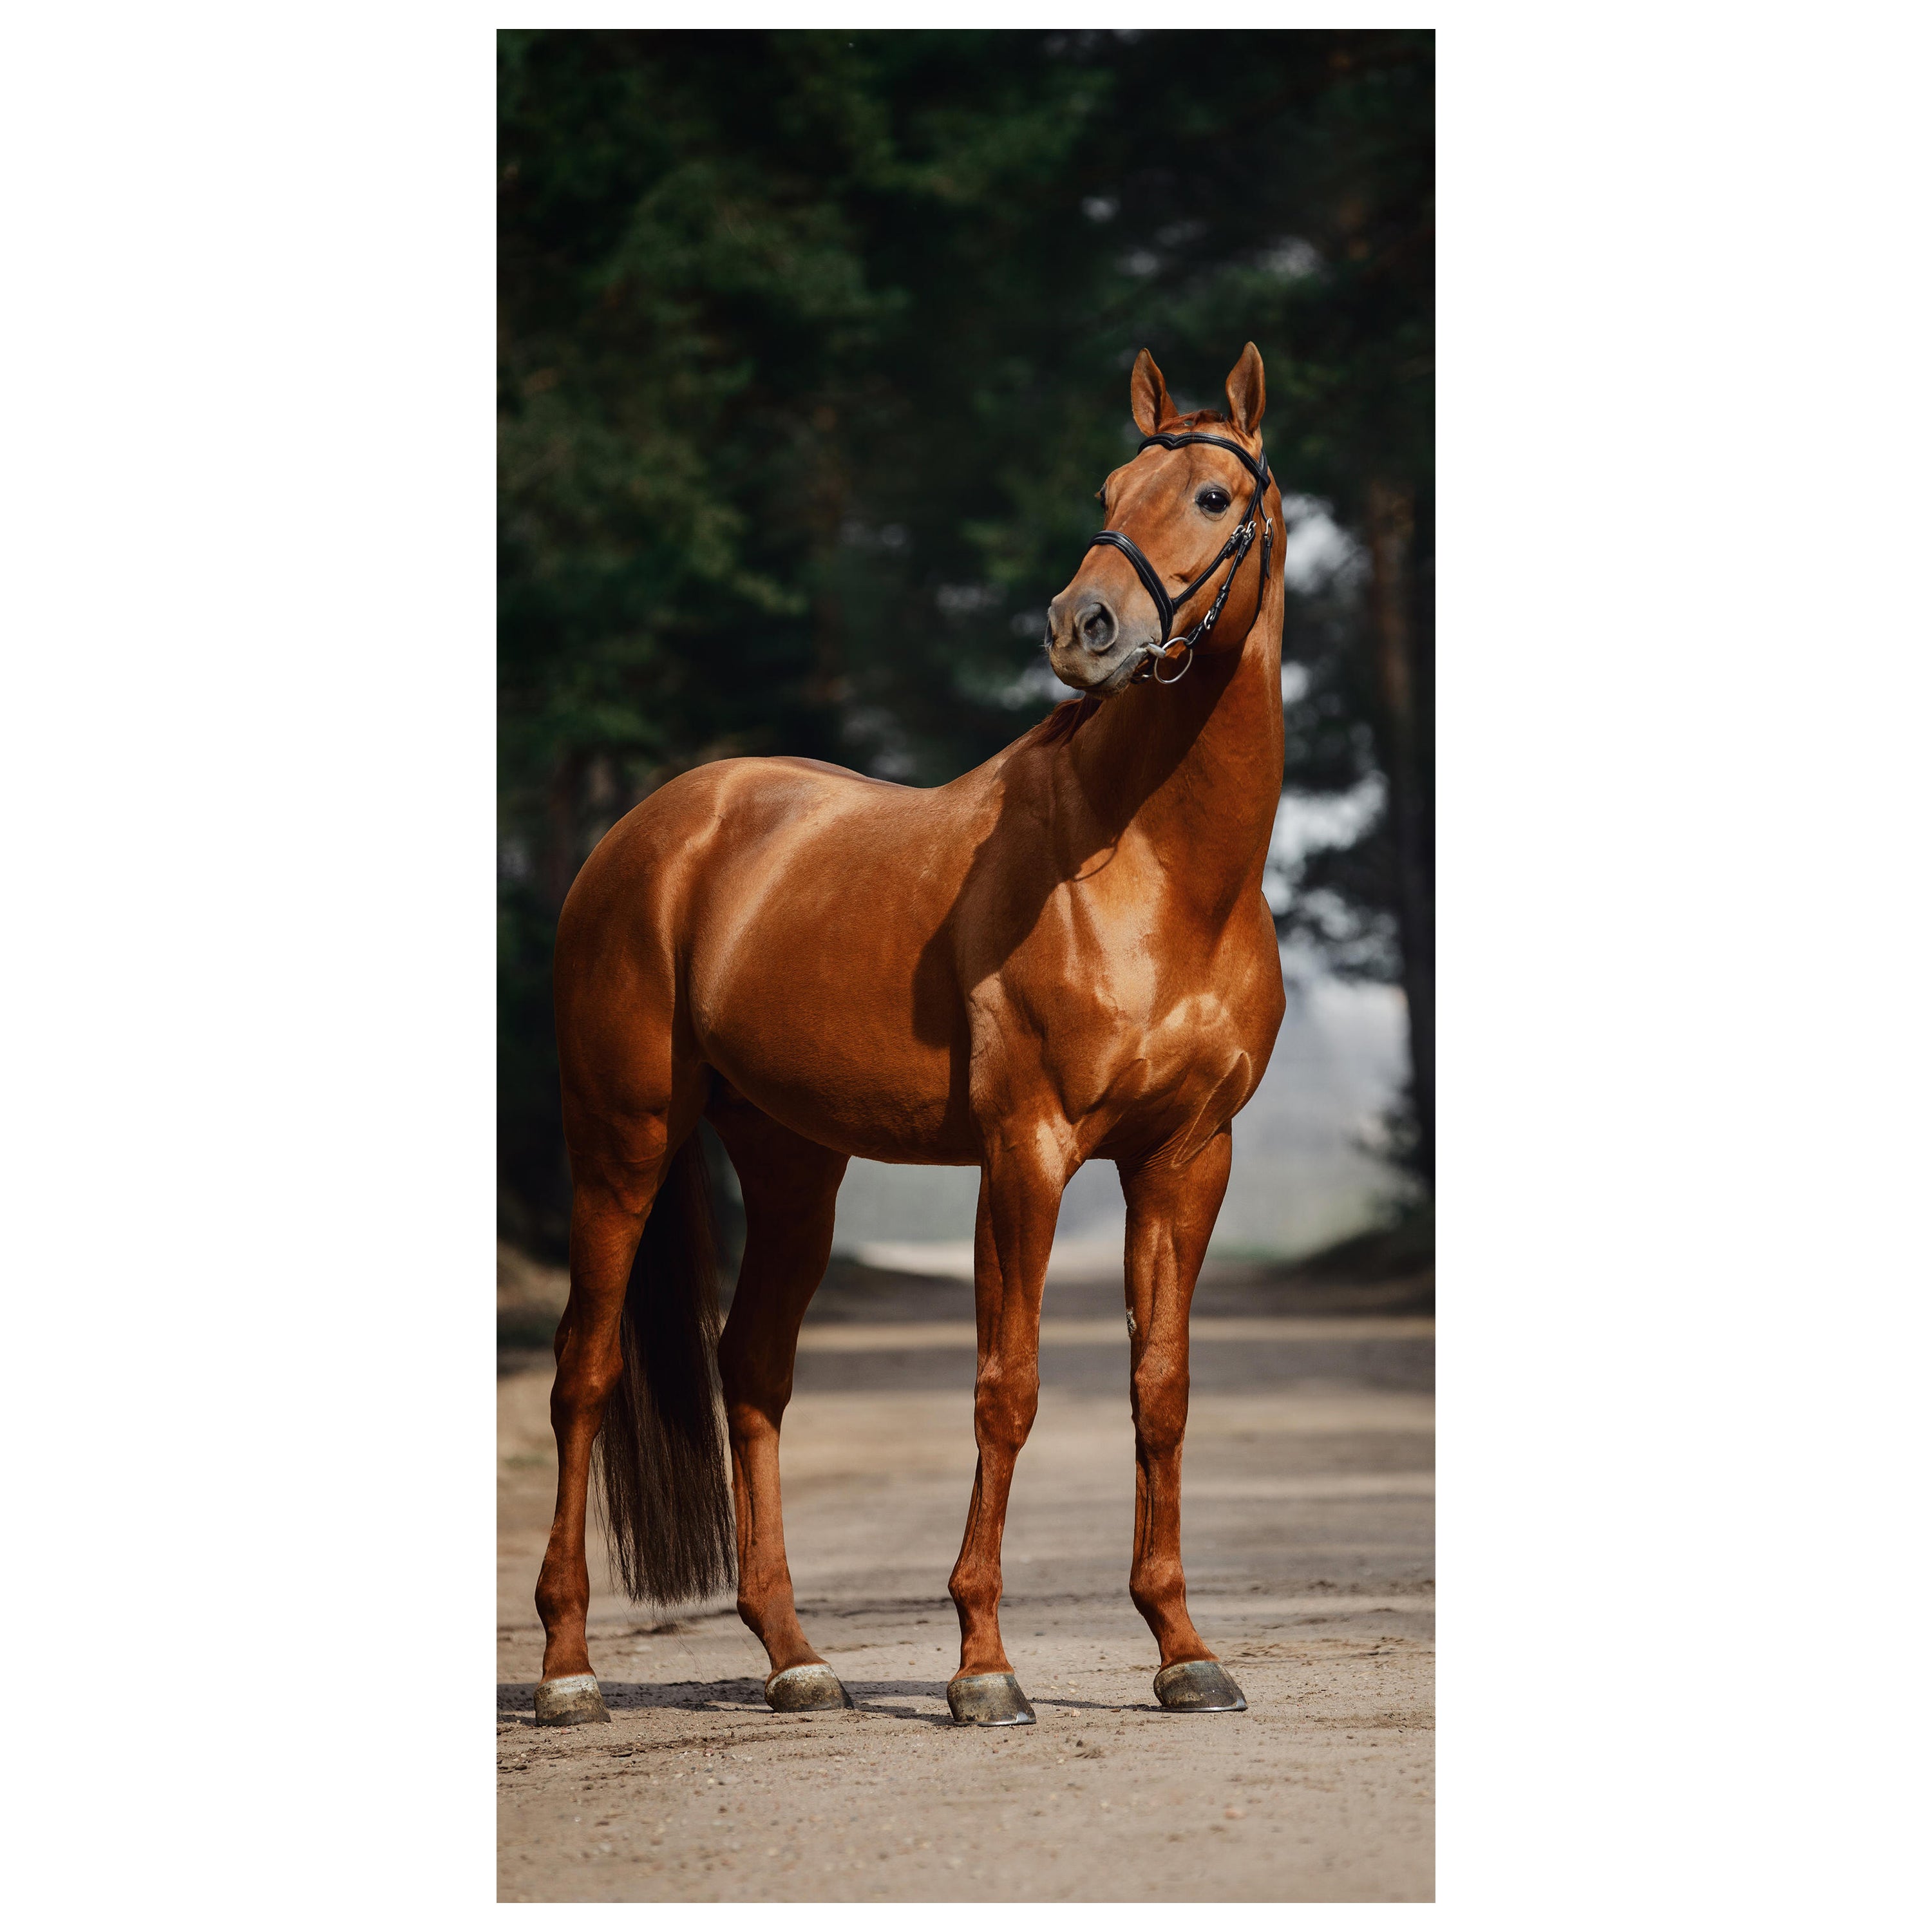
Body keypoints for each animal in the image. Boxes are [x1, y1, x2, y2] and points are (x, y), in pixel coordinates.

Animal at [532, 343, 1288, 1729]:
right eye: (1109, 488)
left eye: (1215, 497)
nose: (1083, 628)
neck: (1154, 870)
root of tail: (655, 827)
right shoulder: (1026, 1152)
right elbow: (1009, 1387)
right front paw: (983, 1667)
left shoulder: (1186, 1159)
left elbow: (1160, 1389)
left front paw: (1183, 1650)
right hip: (624, 1143)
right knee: (585, 1373)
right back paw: (568, 1671)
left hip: (790, 1164)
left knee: (753, 1373)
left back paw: (797, 1661)